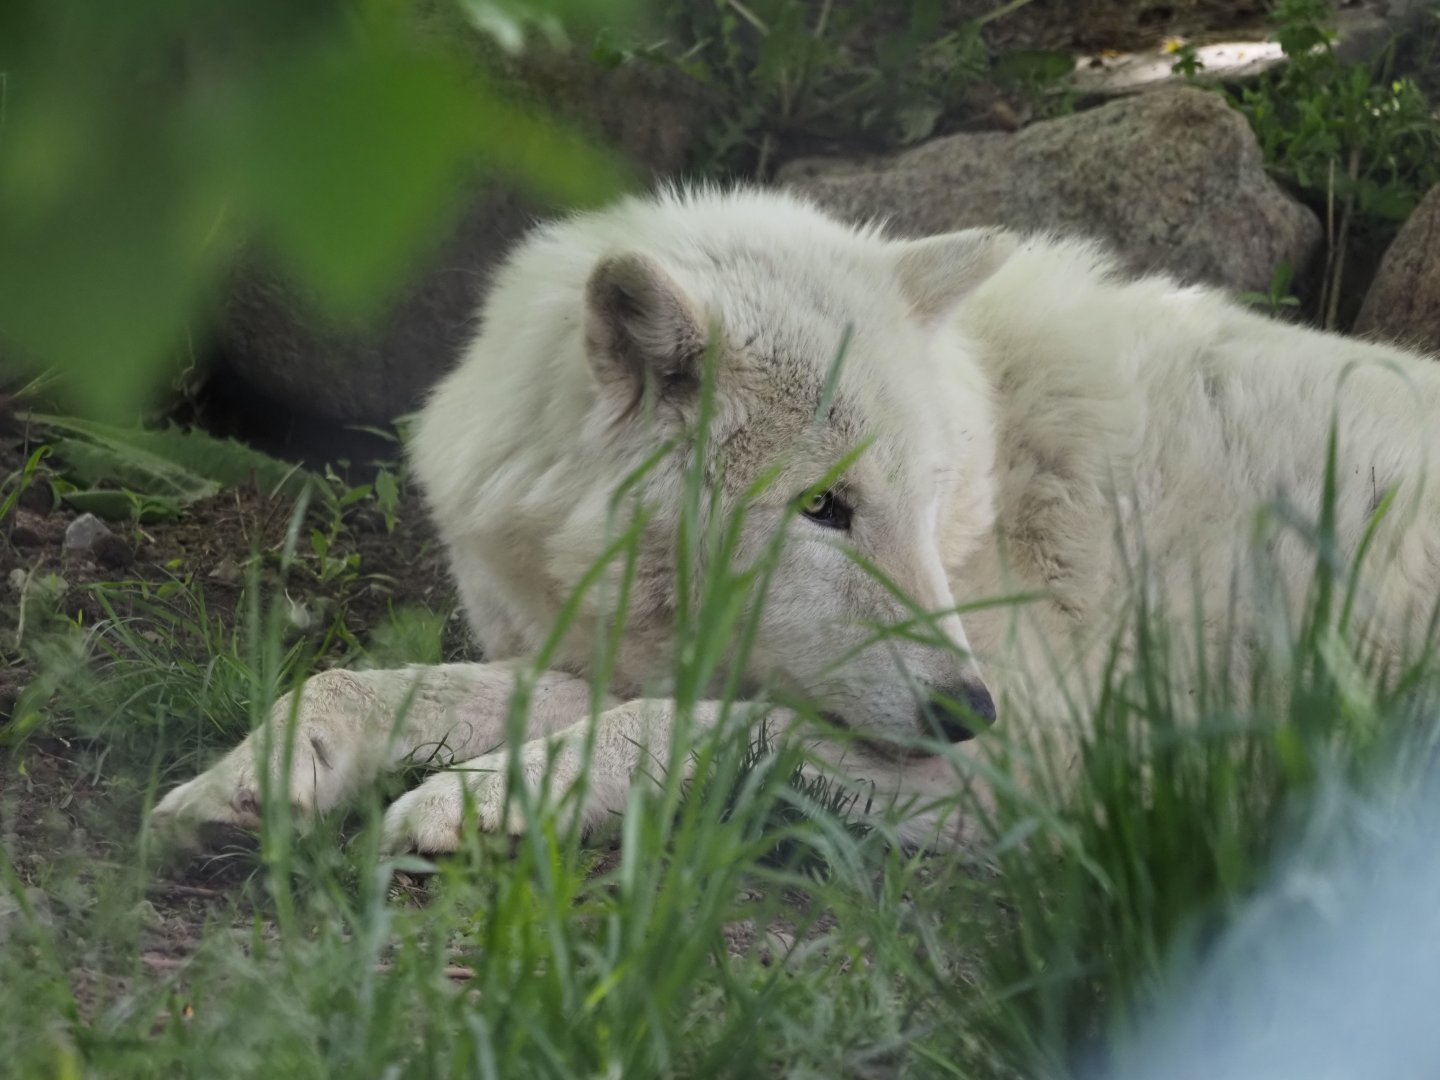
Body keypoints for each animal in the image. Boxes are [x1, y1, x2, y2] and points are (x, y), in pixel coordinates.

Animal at [151, 187, 1440, 855]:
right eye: (828, 510)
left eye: (926, 504)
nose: (968, 712)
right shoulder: (602, 659)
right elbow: (352, 683)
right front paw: (256, 777)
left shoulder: (1056, 748)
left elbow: (691, 729)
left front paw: (483, 797)